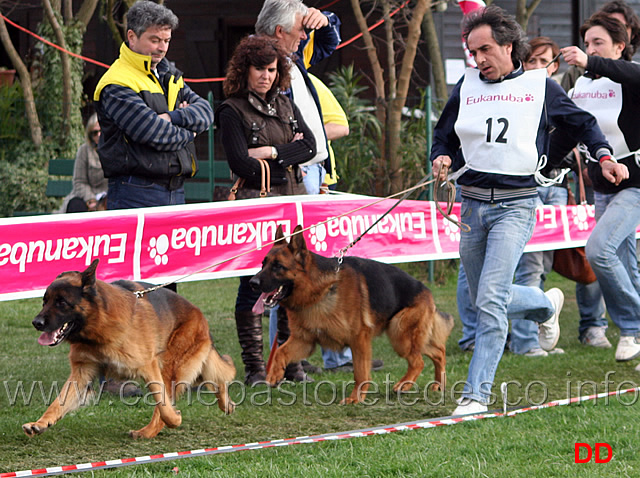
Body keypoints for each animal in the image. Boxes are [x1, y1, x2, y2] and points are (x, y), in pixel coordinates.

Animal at [23, 260, 238, 438]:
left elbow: (163, 405)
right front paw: (41, 423)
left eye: (61, 302)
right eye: (44, 301)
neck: (97, 327)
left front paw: (175, 419)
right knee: (215, 378)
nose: (36, 323)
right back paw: (226, 404)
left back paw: (149, 431)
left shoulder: (149, 367)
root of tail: (198, 313)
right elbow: (58, 402)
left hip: (173, 367)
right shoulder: (82, 372)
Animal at [250, 225, 456, 404]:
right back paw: (438, 384)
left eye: (278, 266)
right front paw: (274, 374)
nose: (252, 282)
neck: (318, 290)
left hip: (399, 334)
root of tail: (426, 290)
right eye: (263, 264)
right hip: (404, 335)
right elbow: (280, 351)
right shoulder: (304, 340)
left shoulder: (359, 340)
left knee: (419, 361)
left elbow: (360, 372)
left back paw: (404, 385)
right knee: (438, 352)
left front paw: (356, 398)